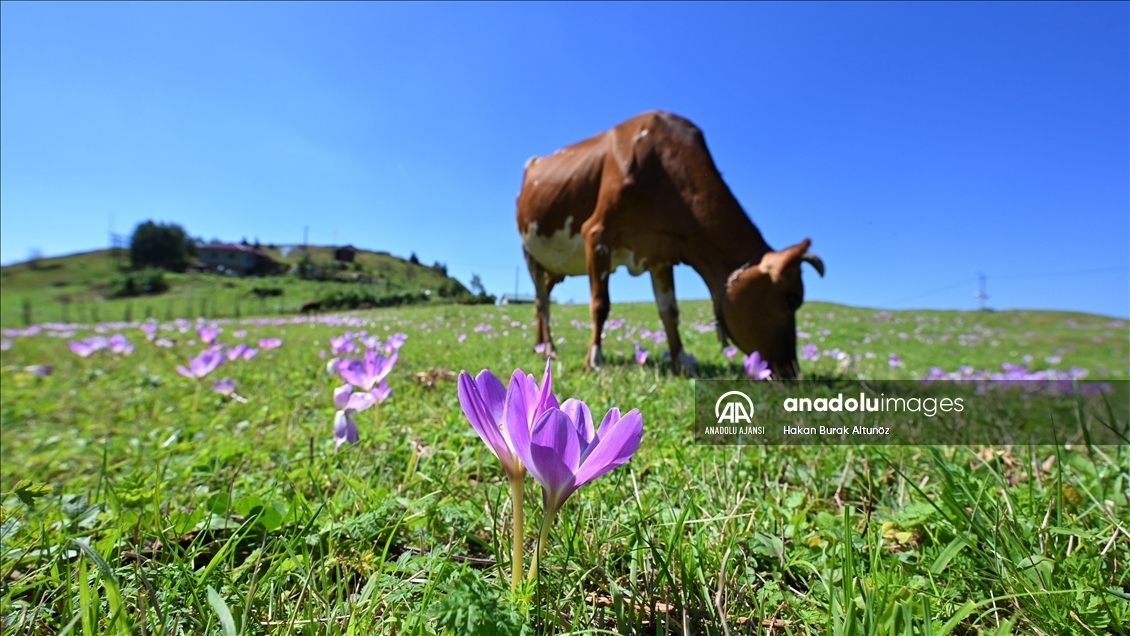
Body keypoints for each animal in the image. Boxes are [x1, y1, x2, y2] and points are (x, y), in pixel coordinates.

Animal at [517, 110, 827, 377]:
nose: (792, 371)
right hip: (530, 252)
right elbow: (600, 304)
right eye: (791, 299)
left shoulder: (660, 252)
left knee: (539, 300)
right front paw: (594, 360)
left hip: (555, 266)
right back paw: (551, 349)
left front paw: (682, 362)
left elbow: (670, 311)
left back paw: (539, 346)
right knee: (542, 302)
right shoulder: (597, 233)